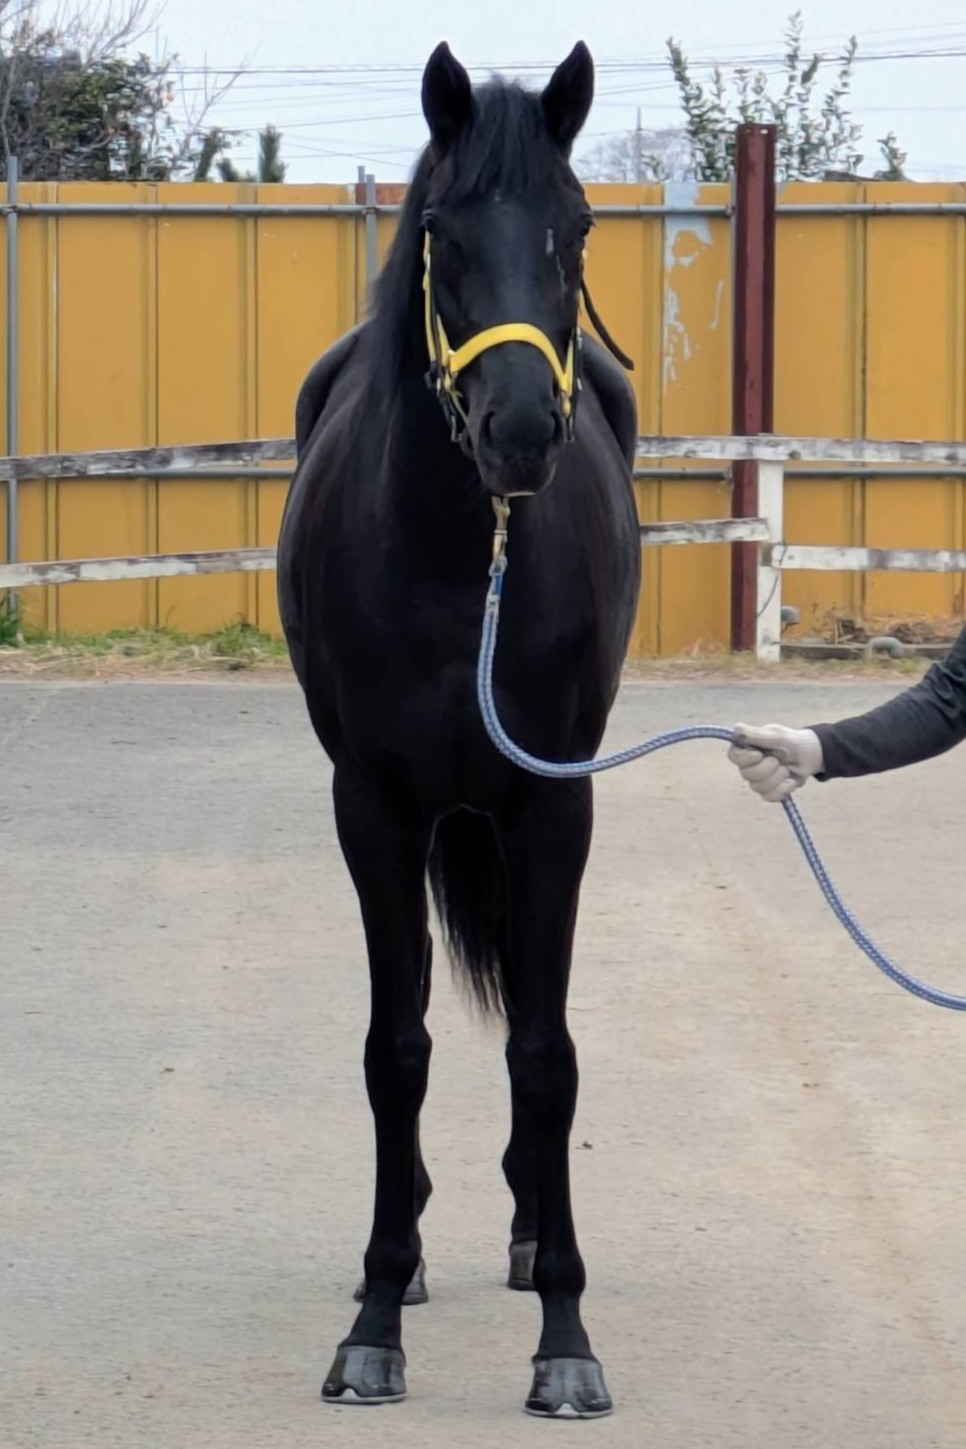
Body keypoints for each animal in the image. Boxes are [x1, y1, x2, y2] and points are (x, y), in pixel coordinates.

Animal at [277, 40, 641, 1419]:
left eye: (576, 228)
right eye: (441, 232)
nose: (521, 432)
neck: (458, 560)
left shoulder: (554, 804)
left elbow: (546, 1052)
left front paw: (567, 1339)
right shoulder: (374, 807)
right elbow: (397, 1049)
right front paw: (376, 1318)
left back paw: (532, 1232)